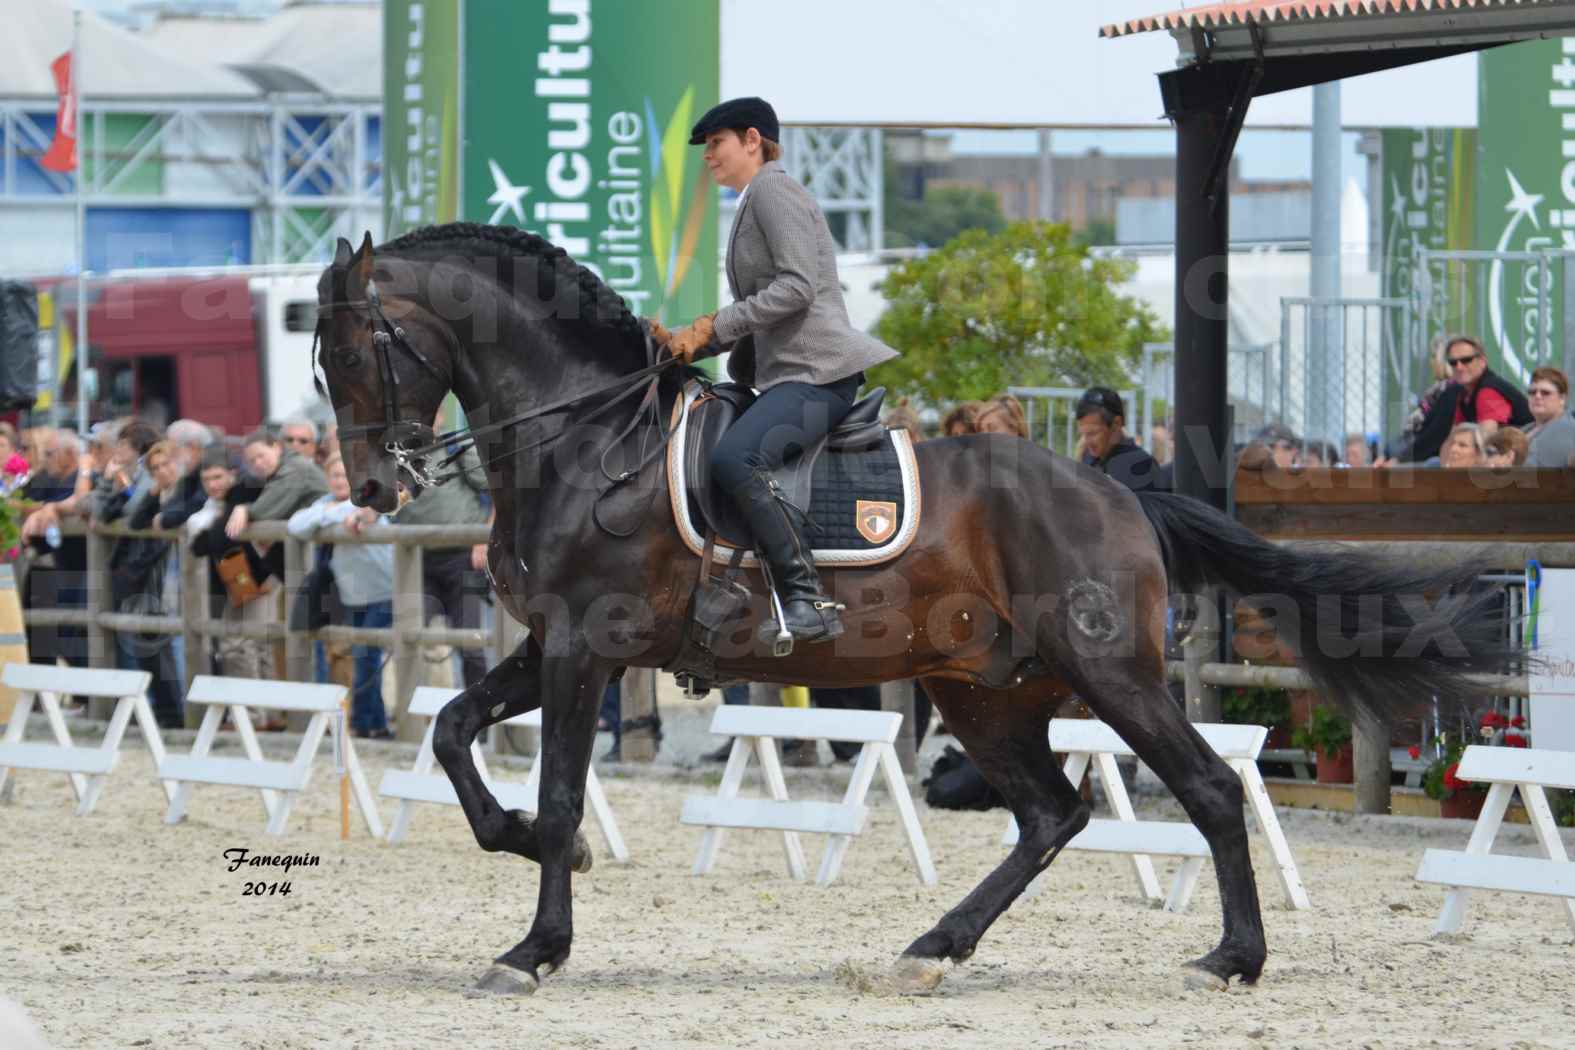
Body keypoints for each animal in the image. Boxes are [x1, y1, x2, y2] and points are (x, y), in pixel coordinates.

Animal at [316, 226, 1512, 1001]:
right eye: (322, 363)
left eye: (356, 350)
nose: (373, 490)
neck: (586, 439)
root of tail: (1122, 489)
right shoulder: (546, 645)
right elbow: (452, 732)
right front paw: (515, 842)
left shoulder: (584, 649)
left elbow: (562, 794)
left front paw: (535, 949)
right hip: (983, 692)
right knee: (1051, 815)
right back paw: (937, 945)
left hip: (1107, 673)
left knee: (1207, 790)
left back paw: (1233, 960)